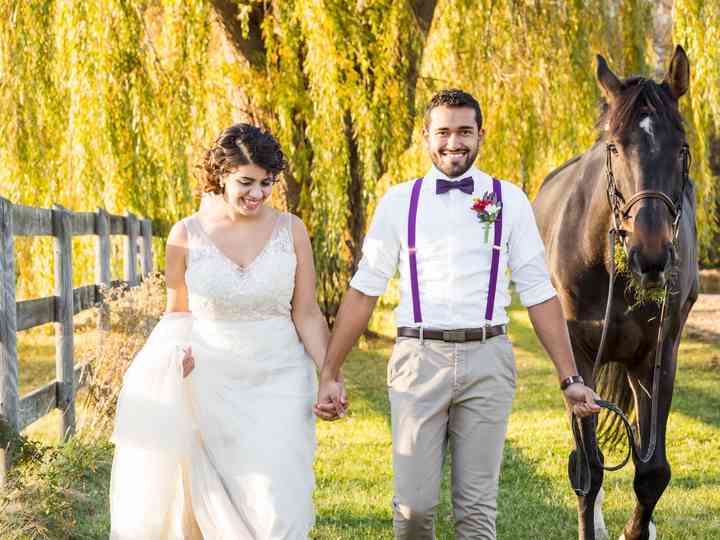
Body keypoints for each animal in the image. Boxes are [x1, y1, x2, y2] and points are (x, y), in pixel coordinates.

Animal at [536, 47, 696, 540]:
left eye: (681, 147)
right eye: (614, 146)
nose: (650, 255)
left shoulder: (659, 357)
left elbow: (653, 471)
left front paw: (639, 528)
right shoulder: (578, 356)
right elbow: (587, 466)